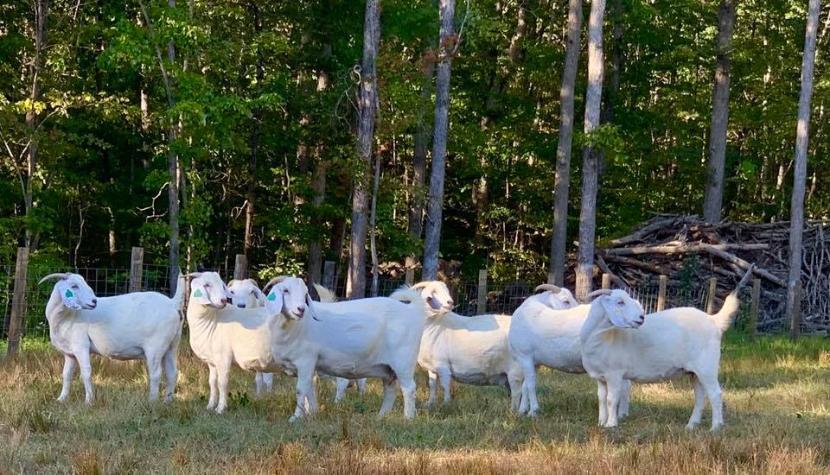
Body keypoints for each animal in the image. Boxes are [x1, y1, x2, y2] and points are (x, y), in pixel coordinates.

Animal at [39, 274, 185, 404]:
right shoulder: (70, 353)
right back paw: (167, 401)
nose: (94, 301)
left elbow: (86, 373)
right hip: (171, 346)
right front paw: (61, 399)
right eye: (74, 286)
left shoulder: (80, 346)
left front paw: (89, 401)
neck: (68, 316)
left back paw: (152, 401)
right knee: (172, 373)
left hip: (155, 347)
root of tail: (172, 303)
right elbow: (66, 375)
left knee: (156, 374)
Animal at [264, 278, 426, 422]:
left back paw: (408, 418)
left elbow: (300, 390)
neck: (296, 327)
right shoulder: (307, 367)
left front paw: (296, 418)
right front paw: (313, 413)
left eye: (305, 294)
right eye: (285, 290)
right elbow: (309, 389)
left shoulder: (306, 361)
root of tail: (411, 309)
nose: (301, 309)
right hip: (387, 368)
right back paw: (381, 417)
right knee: (390, 389)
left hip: (404, 361)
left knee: (409, 389)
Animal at [414, 280, 524, 410]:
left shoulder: (443, 365)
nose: (450, 302)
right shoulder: (433, 367)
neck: (434, 324)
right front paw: (430, 404)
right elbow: (432, 385)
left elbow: (445, 387)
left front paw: (446, 405)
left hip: (516, 369)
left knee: (517, 393)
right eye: (433, 292)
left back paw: (514, 412)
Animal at [510, 284, 632, 418]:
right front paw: (522, 410)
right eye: (566, 301)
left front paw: (533, 412)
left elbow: (531, 385)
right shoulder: (533, 361)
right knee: (626, 385)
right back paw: (623, 413)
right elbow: (525, 385)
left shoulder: (524, 356)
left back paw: (620, 414)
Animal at [580, 268, 752, 432]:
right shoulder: (601, 377)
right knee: (700, 396)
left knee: (715, 394)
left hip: (707, 366)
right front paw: (601, 422)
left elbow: (611, 399)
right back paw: (691, 425)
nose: (641, 318)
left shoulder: (615, 373)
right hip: (695, 372)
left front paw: (611, 425)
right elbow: (601, 399)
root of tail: (714, 320)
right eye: (620, 302)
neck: (601, 336)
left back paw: (715, 427)